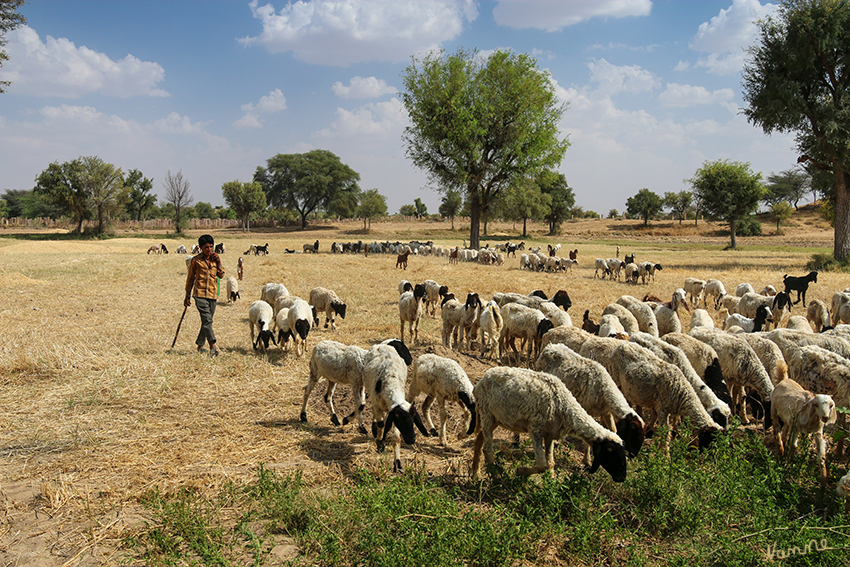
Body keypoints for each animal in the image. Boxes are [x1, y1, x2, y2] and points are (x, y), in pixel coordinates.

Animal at [362, 340, 430, 472]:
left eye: (413, 421)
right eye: (401, 421)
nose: (411, 439)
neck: (390, 381)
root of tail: (390, 341)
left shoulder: (392, 412)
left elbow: (396, 437)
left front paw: (397, 463)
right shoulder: (379, 405)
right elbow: (381, 425)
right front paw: (380, 444)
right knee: (376, 416)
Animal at [468, 366, 628, 482]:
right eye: (611, 452)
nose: (622, 478)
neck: (564, 407)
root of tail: (480, 382)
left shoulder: (550, 434)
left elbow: (550, 463)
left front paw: (550, 481)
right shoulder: (535, 430)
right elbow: (542, 465)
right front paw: (520, 471)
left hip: (493, 418)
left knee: (479, 441)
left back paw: (475, 473)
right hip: (486, 413)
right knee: (488, 449)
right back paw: (495, 477)